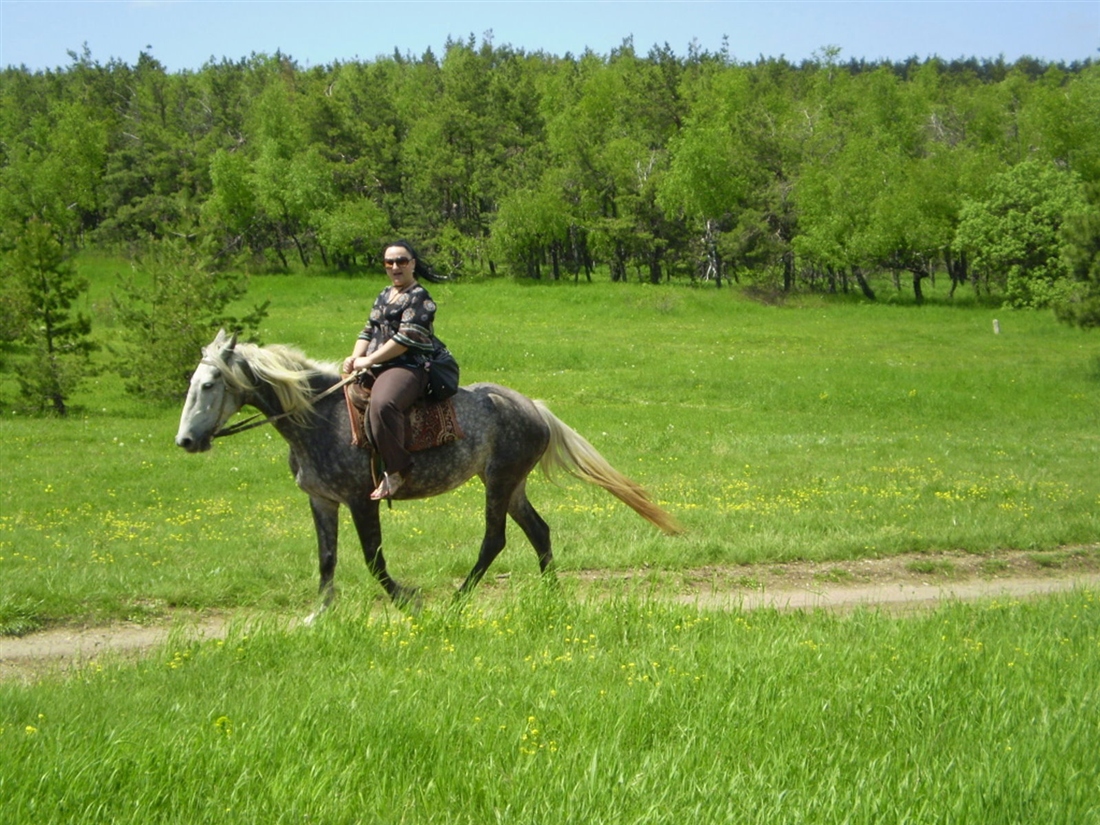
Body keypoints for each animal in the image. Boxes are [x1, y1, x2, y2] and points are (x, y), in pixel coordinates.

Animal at [173, 332, 677, 616]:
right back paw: (551, 596)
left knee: (495, 539)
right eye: (192, 384)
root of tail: (534, 407)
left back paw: (458, 599)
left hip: (499, 483)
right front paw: (319, 614)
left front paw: (409, 601)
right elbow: (327, 559)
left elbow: (374, 560)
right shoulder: (322, 500)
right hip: (510, 484)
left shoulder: (360, 499)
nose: (186, 441)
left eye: (210, 384)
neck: (318, 418)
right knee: (539, 531)